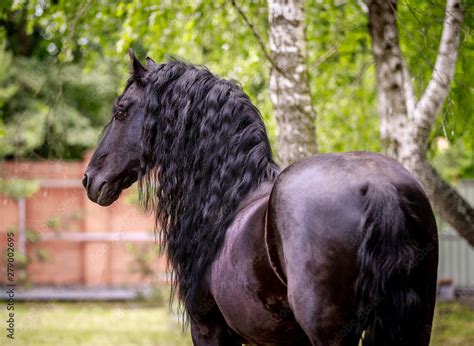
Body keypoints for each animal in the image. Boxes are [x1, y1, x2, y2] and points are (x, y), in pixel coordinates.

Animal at [83, 49, 438, 346]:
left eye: (121, 111)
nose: (89, 179)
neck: (231, 198)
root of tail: (378, 186)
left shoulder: (209, 330)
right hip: (415, 326)